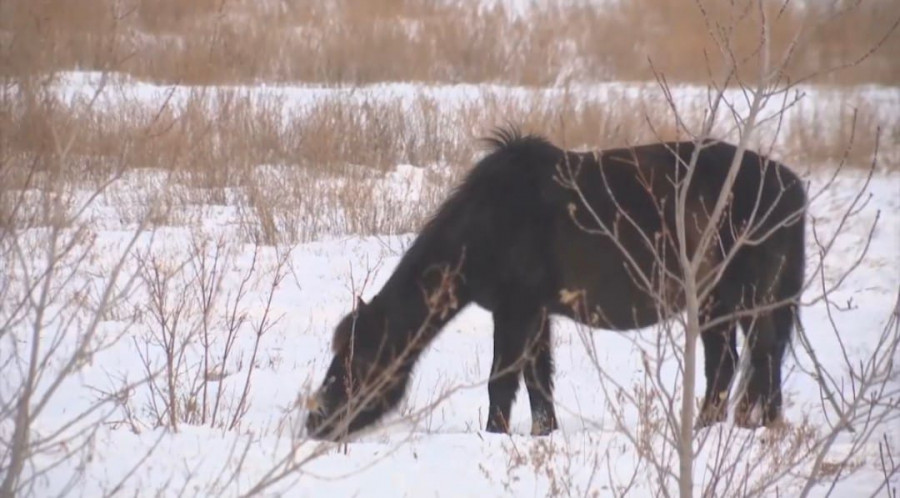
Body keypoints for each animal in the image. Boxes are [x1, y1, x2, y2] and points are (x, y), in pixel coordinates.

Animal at [306, 127, 804, 440]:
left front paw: (496, 434)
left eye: (357, 361)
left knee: (741, 362)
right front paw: (543, 434)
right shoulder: (536, 315)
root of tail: (791, 185)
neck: (491, 220)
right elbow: (537, 382)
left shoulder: (517, 312)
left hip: (729, 300)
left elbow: (502, 381)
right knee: (755, 362)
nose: (315, 422)